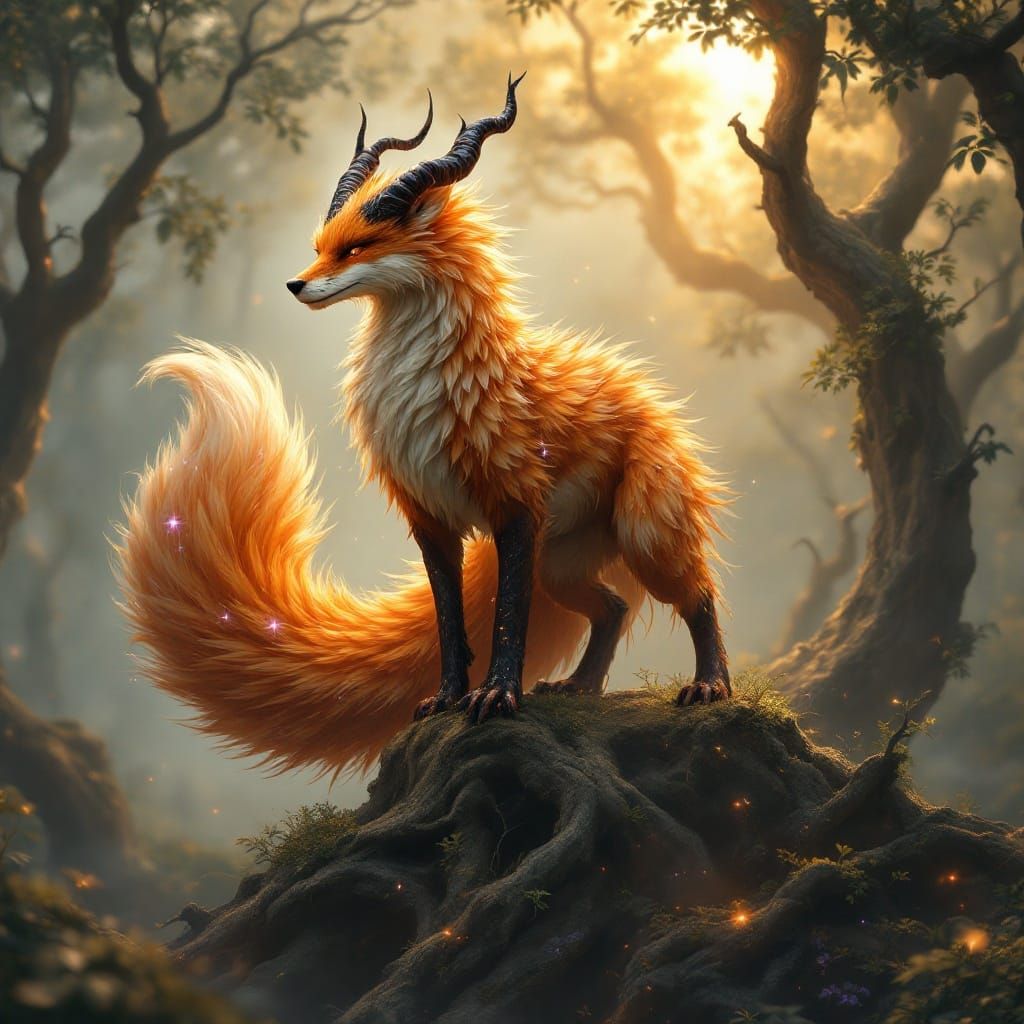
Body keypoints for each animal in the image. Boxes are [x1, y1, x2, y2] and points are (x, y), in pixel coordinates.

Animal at [117, 75, 731, 777]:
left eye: (357, 248)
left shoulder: (515, 509)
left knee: (699, 596)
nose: (295, 284)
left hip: (644, 534)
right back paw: (581, 686)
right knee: (614, 608)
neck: (428, 387)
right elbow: (450, 621)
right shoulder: (429, 518)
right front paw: (446, 700)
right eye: (320, 247)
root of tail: (650, 395)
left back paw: (710, 686)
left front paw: (497, 698)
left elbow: (507, 618)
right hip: (565, 564)